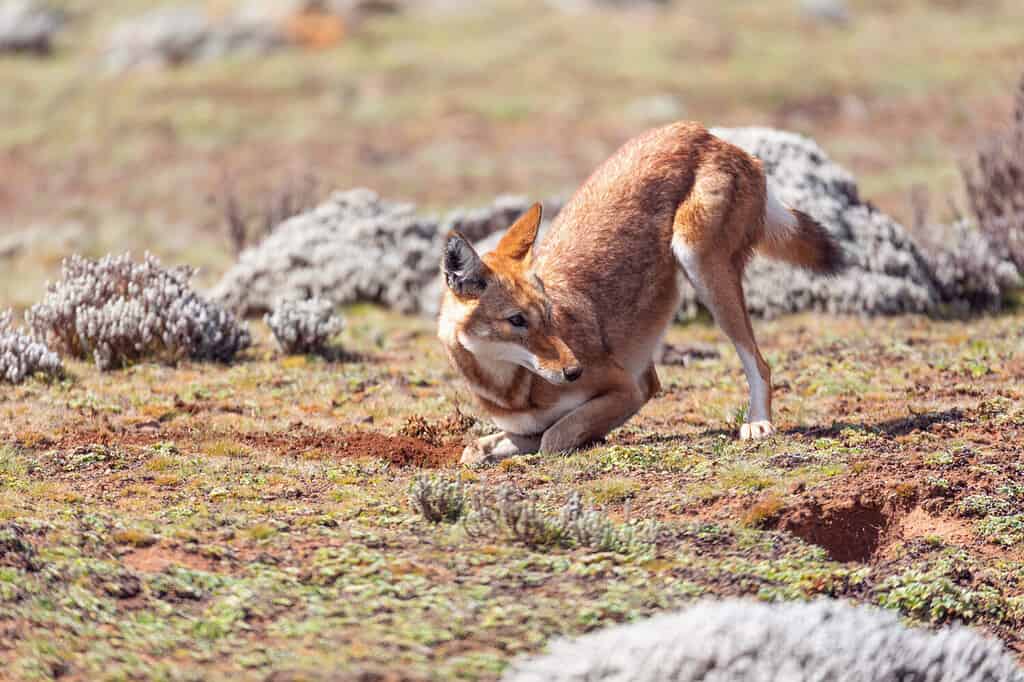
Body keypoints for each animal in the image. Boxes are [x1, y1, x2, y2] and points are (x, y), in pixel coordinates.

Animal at [436, 120, 843, 462]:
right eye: (517, 321)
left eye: (548, 316)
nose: (574, 371)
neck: (512, 392)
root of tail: (706, 133)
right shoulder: (525, 427)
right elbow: (475, 448)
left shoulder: (627, 389)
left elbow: (553, 438)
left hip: (699, 263)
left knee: (759, 363)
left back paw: (757, 423)